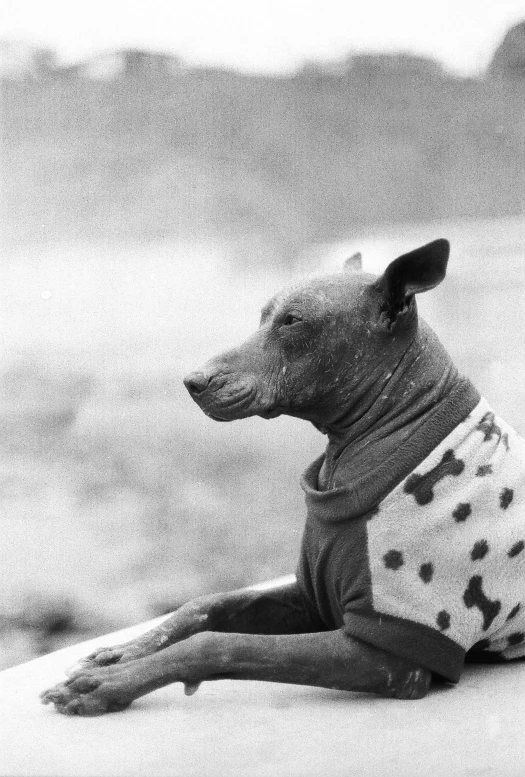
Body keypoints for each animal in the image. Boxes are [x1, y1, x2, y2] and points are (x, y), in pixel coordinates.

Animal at [40, 238, 524, 716]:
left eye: (293, 321)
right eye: (264, 317)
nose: (193, 381)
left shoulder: (390, 653)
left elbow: (219, 643)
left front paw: (109, 684)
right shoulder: (314, 600)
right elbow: (205, 605)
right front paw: (124, 653)